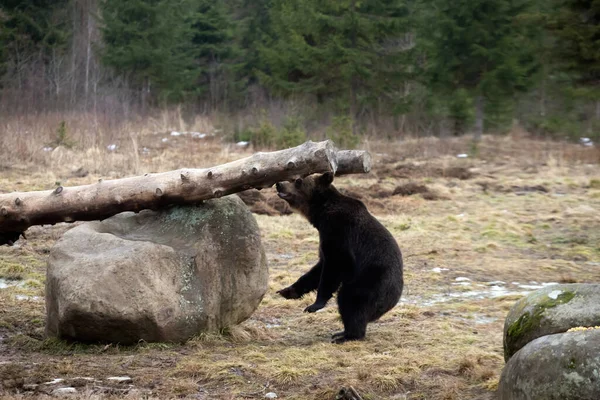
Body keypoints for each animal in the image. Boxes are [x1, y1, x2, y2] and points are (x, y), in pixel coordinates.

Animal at [276, 172, 404, 344]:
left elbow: (335, 264)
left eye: (297, 180)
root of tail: (394, 299)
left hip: (371, 281)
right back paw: (341, 333)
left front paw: (314, 305)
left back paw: (347, 335)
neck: (321, 212)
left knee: (351, 302)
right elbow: (317, 268)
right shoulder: (325, 237)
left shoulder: (338, 231)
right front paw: (287, 291)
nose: (278, 184)